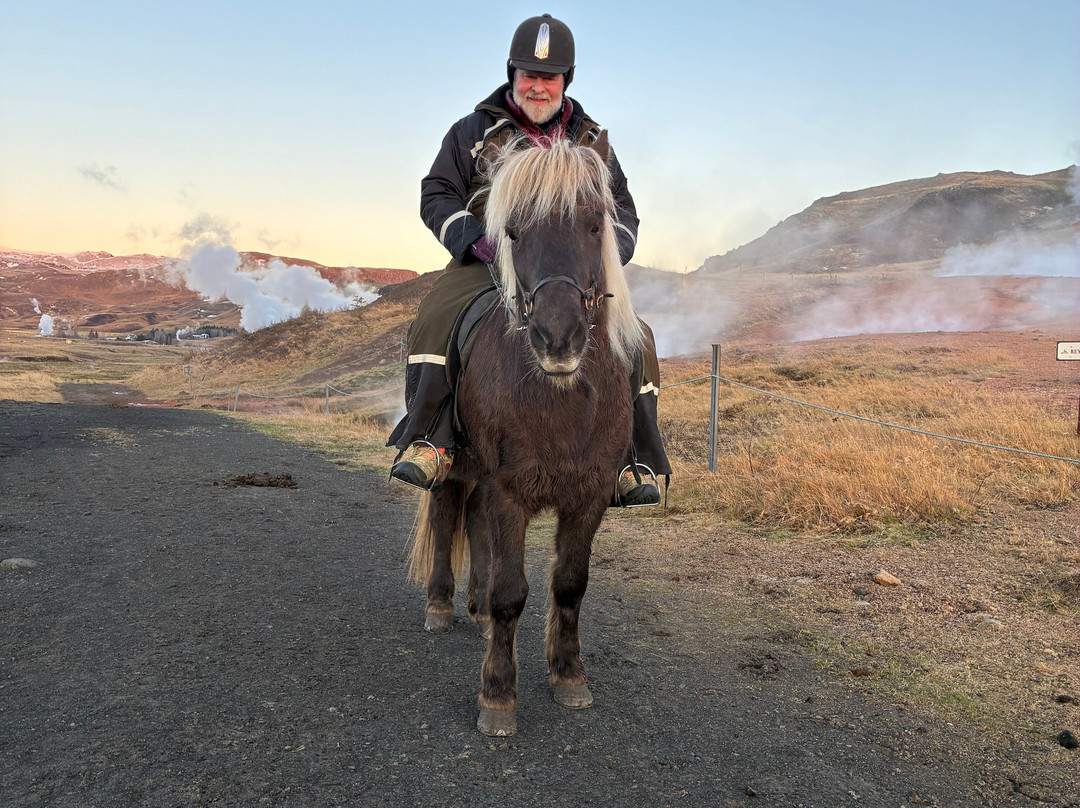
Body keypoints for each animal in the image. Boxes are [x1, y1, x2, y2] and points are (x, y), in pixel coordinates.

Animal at [407, 132, 645, 737]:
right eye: (511, 232)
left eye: (595, 224)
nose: (557, 338)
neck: (562, 401)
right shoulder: (508, 489)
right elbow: (511, 591)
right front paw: (498, 694)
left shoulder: (589, 494)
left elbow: (570, 584)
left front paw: (569, 674)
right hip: (457, 464)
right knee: (446, 515)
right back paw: (441, 605)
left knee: (472, 524)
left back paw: (473, 608)